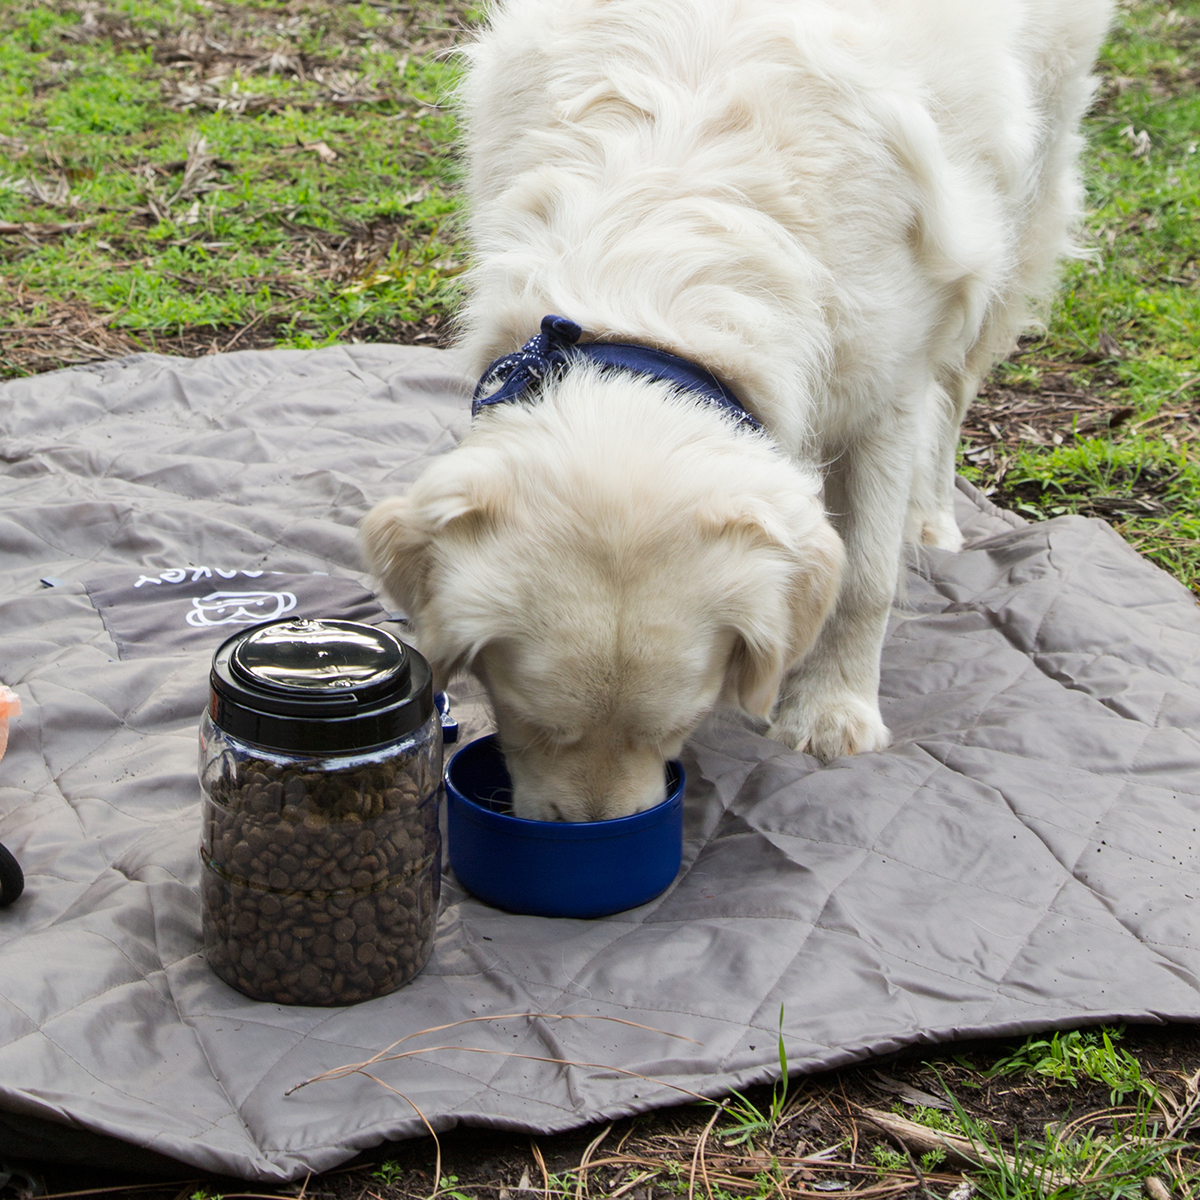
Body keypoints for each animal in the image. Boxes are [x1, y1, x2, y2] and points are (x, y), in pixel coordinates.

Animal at [357, 0, 1113, 820]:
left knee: (957, 386)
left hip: (1018, 209)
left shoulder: (886, 396)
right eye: (527, 720)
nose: (598, 834)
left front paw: (833, 709)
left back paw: (932, 519)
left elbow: (865, 578)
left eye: (679, 725)